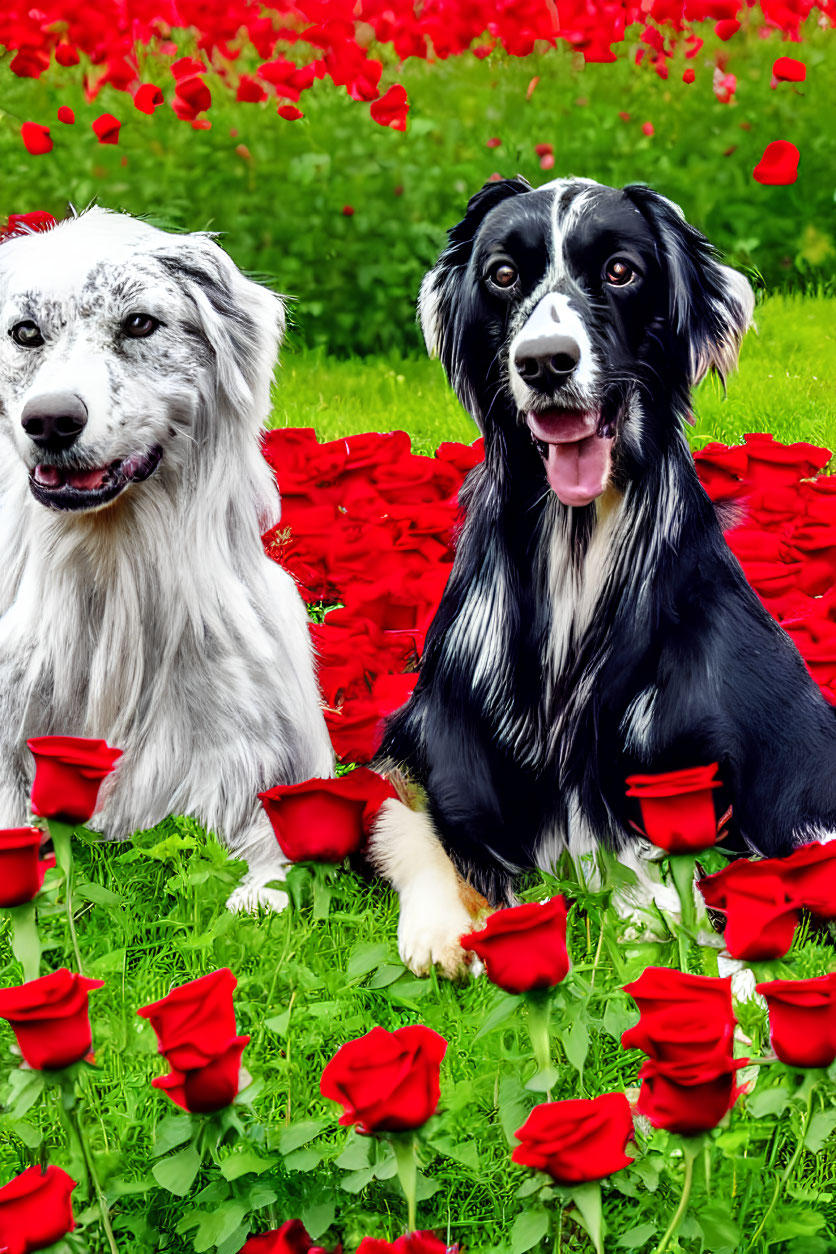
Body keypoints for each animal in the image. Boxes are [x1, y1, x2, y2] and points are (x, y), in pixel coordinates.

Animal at [368, 176, 836, 973]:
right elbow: (408, 818)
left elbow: (668, 894)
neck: (574, 546)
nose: (545, 361)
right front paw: (440, 925)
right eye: (502, 274)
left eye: (621, 271)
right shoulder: (430, 733)